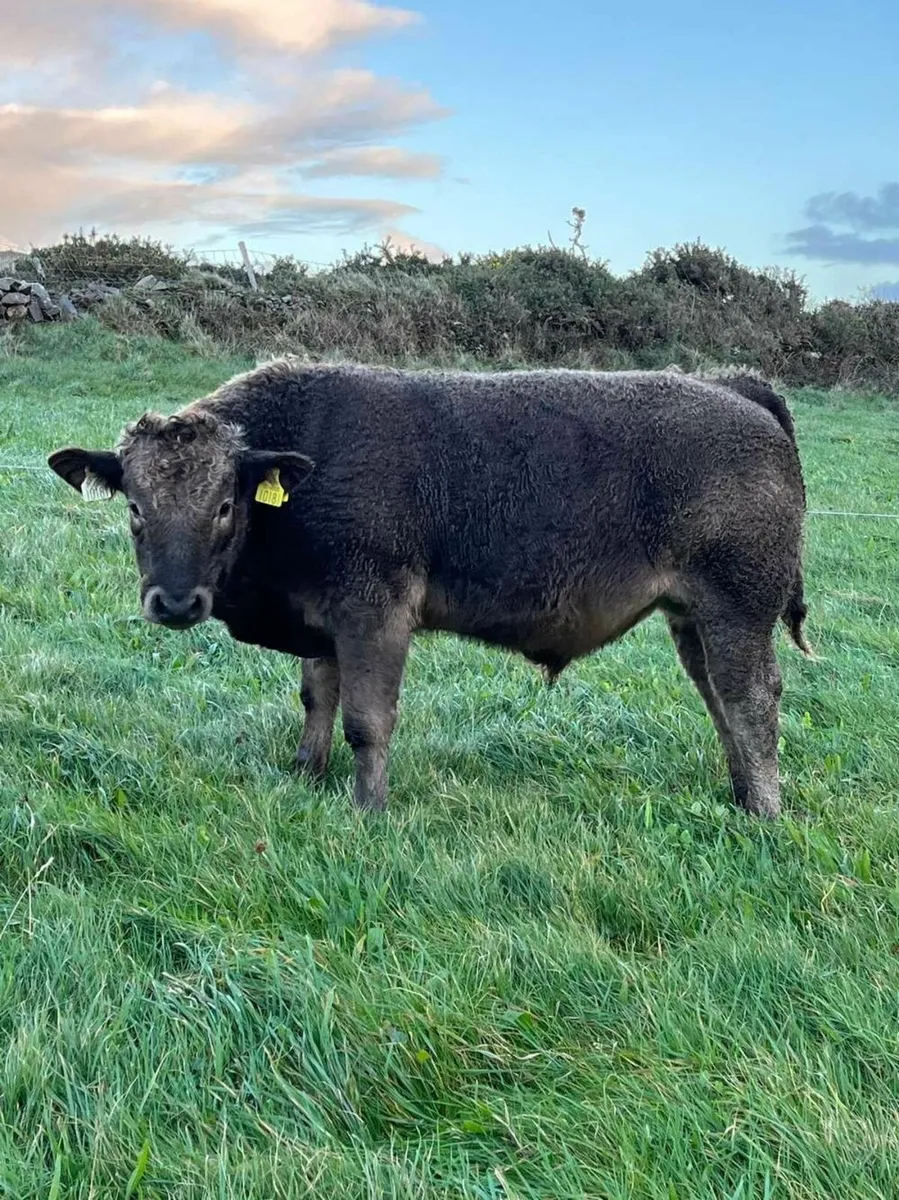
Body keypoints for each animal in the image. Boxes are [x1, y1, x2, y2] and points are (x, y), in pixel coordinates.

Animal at [48, 361, 810, 817]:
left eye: (226, 506)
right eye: (135, 506)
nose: (175, 603)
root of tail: (736, 386)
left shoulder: (375, 612)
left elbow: (366, 719)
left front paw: (367, 809)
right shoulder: (323, 617)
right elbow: (316, 698)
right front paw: (305, 773)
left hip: (738, 606)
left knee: (749, 698)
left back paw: (764, 812)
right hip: (692, 616)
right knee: (717, 696)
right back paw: (741, 794)